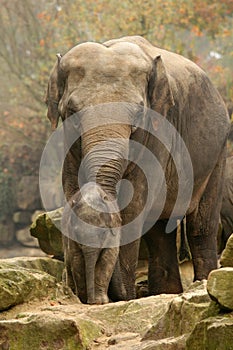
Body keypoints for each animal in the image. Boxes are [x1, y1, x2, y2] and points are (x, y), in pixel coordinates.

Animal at [45, 36, 229, 304]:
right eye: (71, 113)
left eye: (139, 114)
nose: (107, 296)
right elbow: (72, 187)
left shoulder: (158, 134)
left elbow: (134, 205)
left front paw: (124, 298)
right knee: (159, 230)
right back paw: (165, 292)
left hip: (217, 153)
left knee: (201, 225)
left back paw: (201, 282)